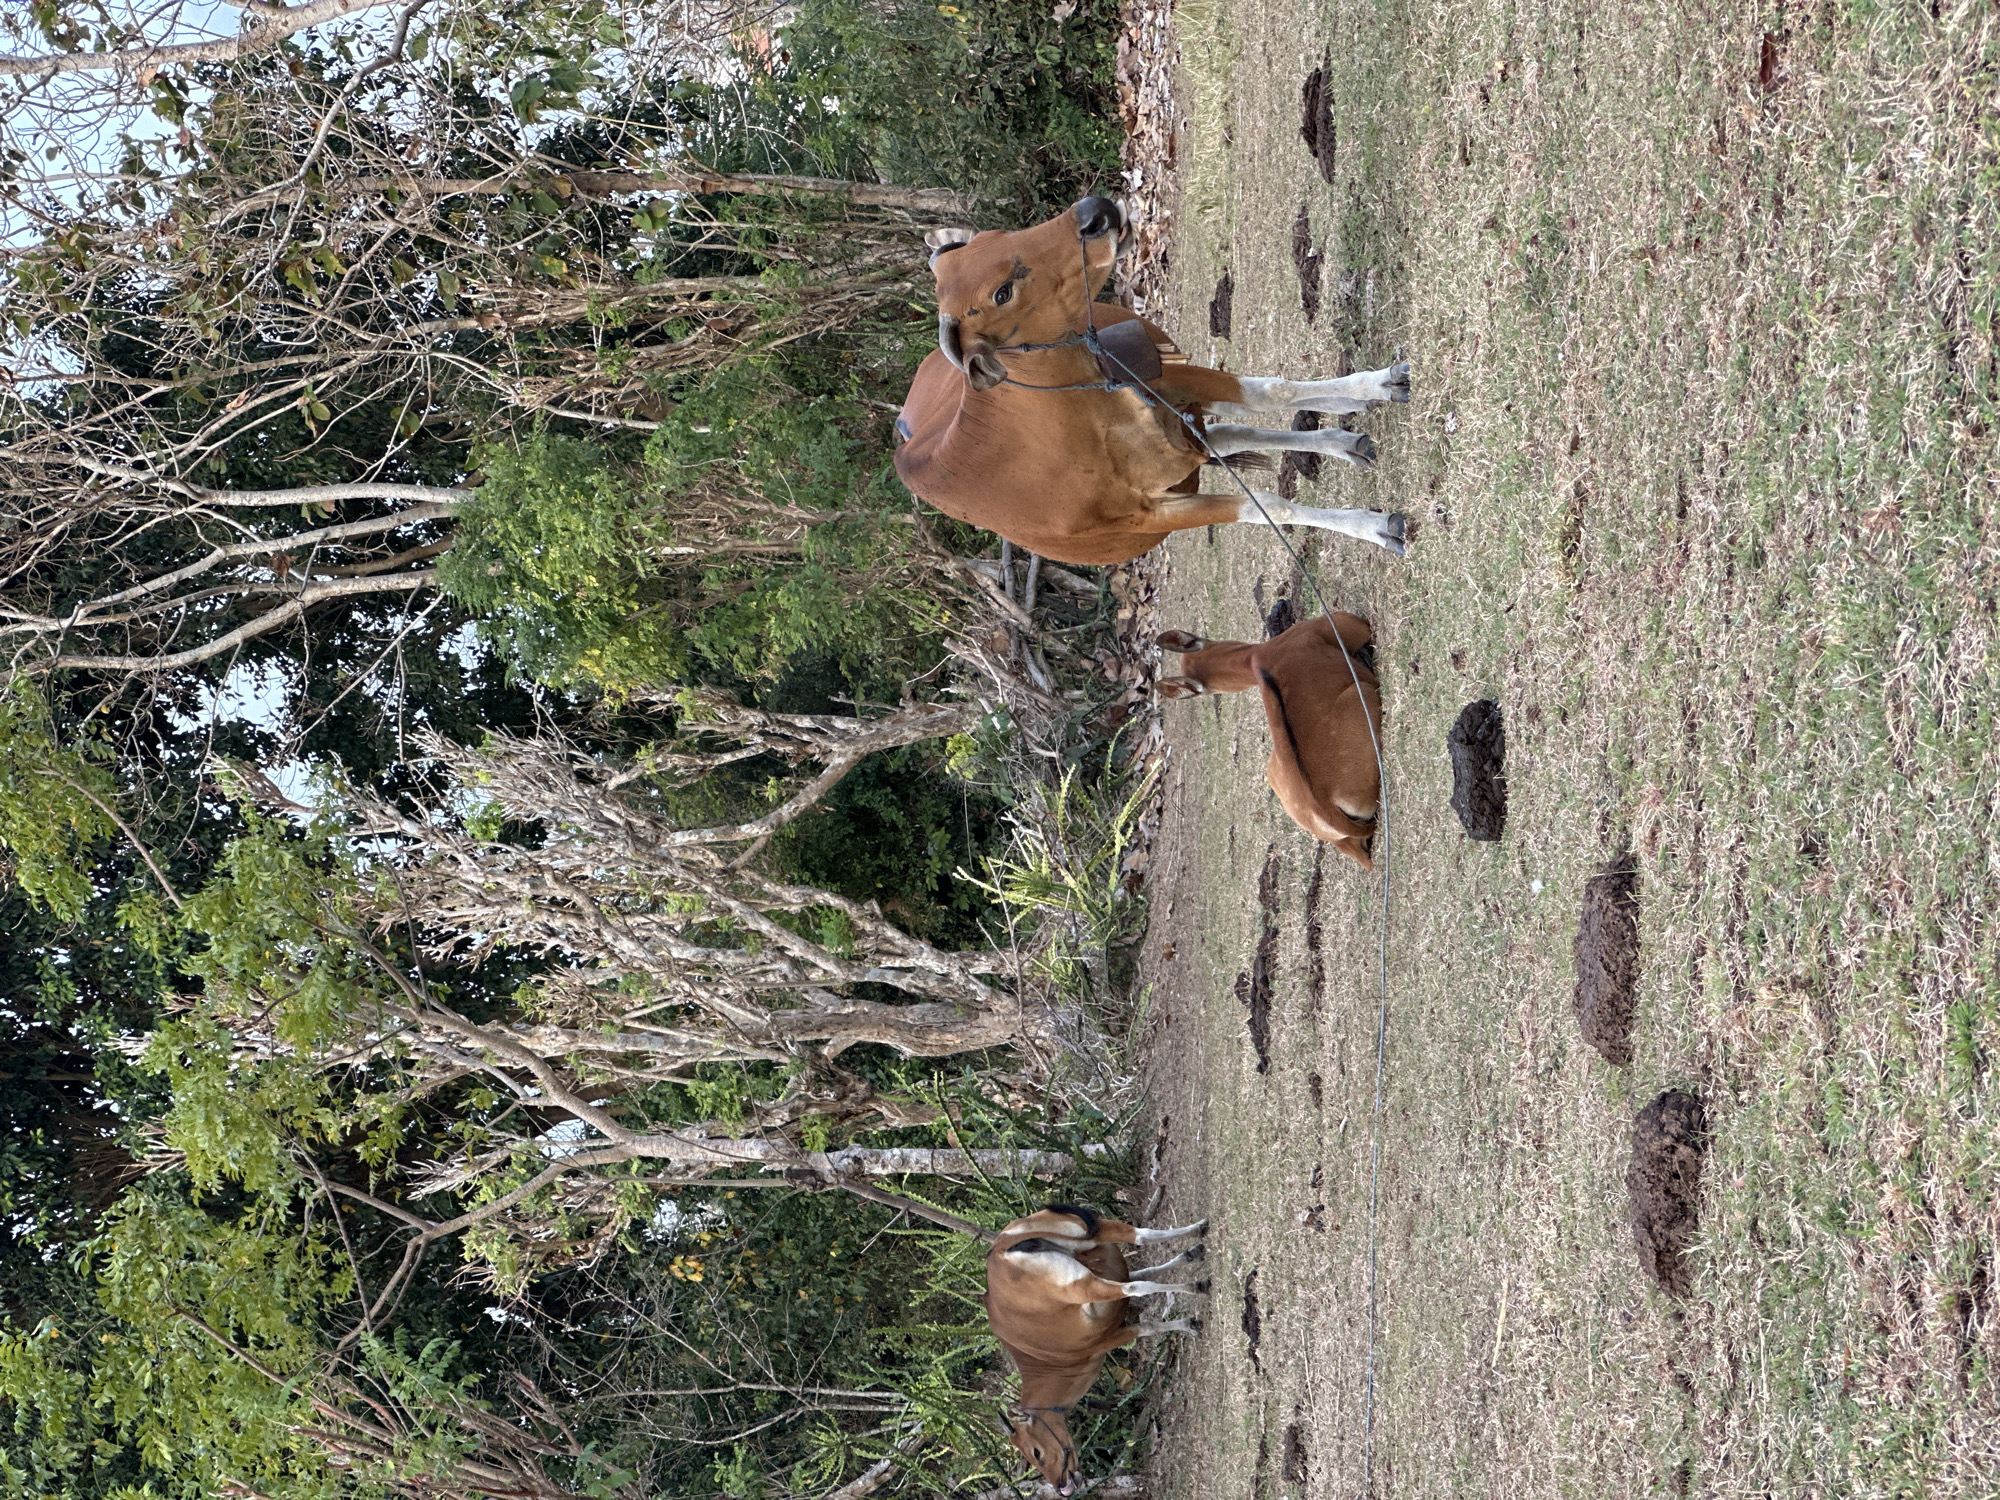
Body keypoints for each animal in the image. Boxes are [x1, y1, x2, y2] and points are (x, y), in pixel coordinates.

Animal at [894, 196, 1411, 567]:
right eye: (1002, 293)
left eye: (996, 235)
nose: (1096, 213)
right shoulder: (1151, 516)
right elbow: (1269, 505)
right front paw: (1373, 527)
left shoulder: (1173, 381)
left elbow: (1269, 391)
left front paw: (1377, 384)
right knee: (1231, 433)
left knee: (1237, 424)